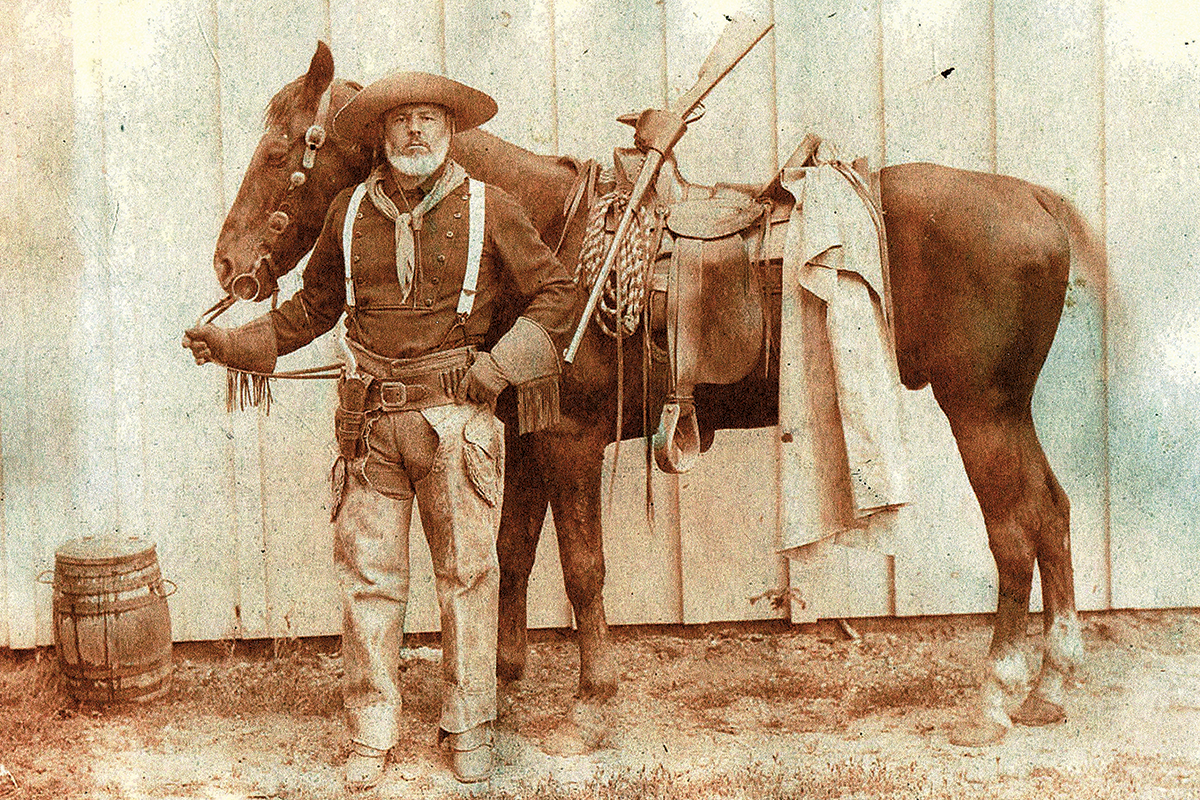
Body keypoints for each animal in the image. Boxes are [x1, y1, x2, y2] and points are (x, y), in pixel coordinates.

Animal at [211, 42, 1108, 743]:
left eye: (280, 151)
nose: (228, 264)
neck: (549, 234)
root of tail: (1033, 198)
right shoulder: (529, 433)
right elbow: (512, 553)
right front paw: (505, 684)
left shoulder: (569, 439)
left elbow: (581, 568)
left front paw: (591, 706)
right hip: (1007, 409)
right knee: (1053, 515)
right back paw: (1051, 686)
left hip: (978, 409)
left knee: (1014, 534)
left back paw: (994, 695)